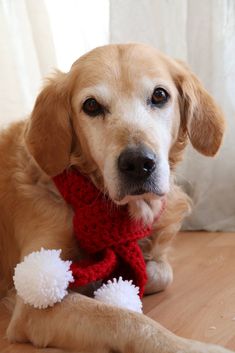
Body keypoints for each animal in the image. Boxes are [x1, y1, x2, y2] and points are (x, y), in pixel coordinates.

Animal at [0, 42, 229, 350]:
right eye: (91, 105)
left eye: (159, 95)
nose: (138, 163)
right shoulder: (34, 298)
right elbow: (125, 319)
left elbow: (160, 272)